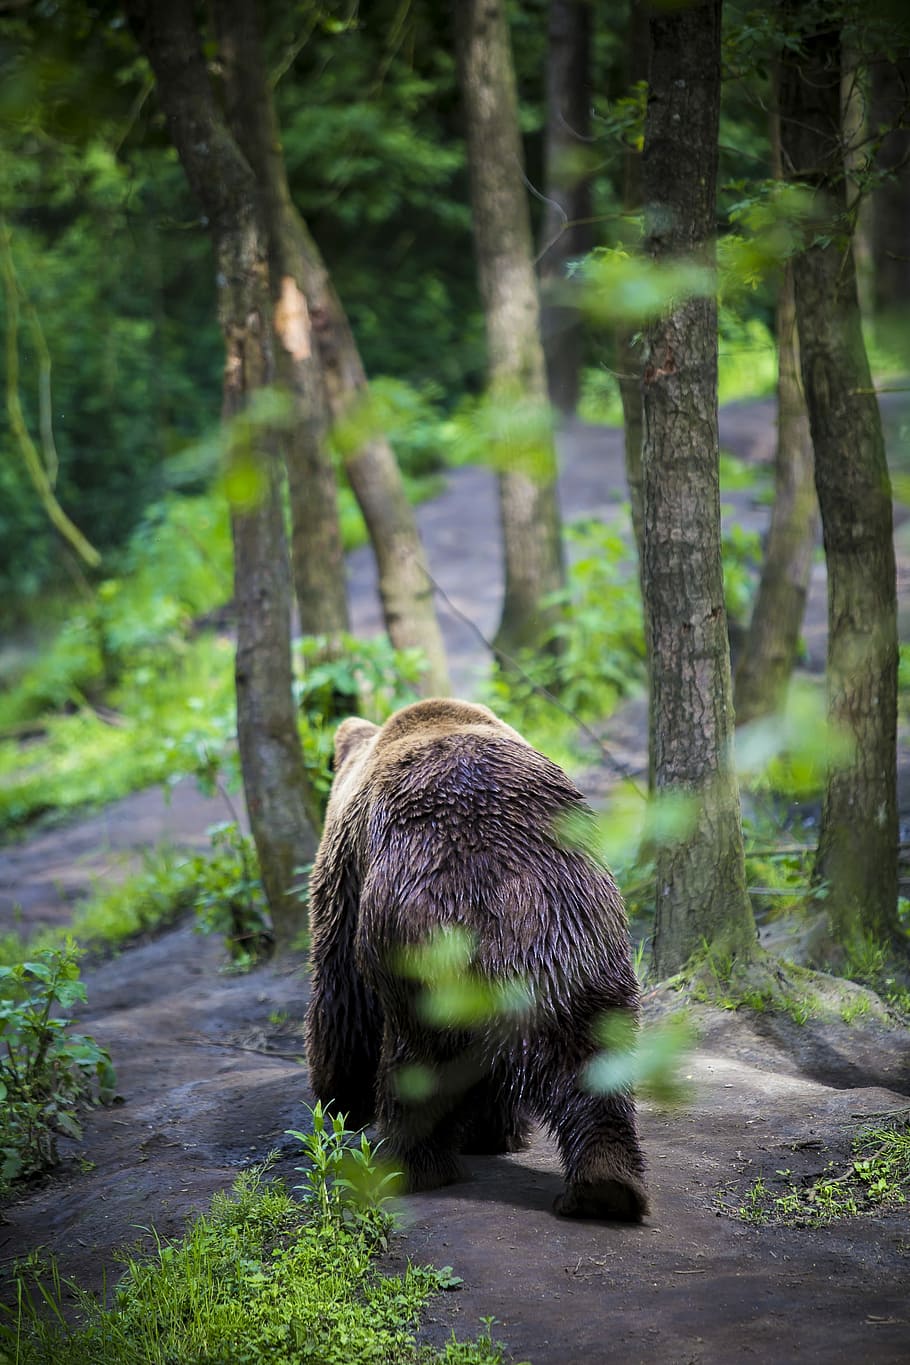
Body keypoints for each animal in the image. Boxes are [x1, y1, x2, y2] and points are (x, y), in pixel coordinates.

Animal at [304, 697, 648, 1221]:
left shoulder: (347, 876)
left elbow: (342, 995)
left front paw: (337, 1097)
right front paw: (496, 1130)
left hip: (421, 935)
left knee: (417, 1061)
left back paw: (409, 1164)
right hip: (579, 932)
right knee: (592, 1051)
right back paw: (605, 1186)